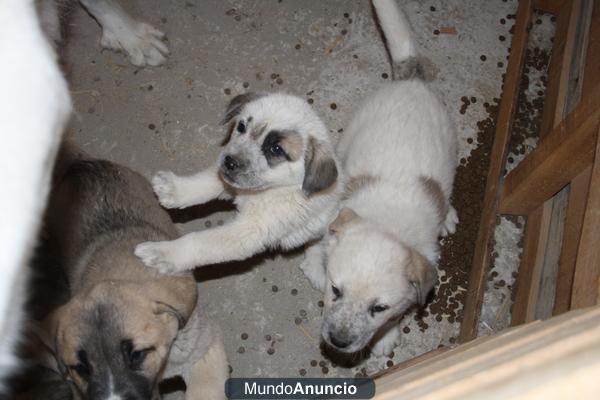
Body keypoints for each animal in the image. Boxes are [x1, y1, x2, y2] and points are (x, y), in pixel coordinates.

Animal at [134, 93, 344, 274]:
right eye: (241, 126)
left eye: (276, 149)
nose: (229, 162)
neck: (272, 191)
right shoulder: (228, 181)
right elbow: (206, 182)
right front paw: (174, 189)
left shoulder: (248, 230)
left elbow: (199, 242)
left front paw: (163, 253)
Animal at [302, 0, 458, 356]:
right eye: (335, 290)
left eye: (379, 308)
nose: (338, 341)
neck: (388, 223)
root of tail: (413, 82)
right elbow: (320, 241)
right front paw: (315, 264)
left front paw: (386, 337)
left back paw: (450, 215)